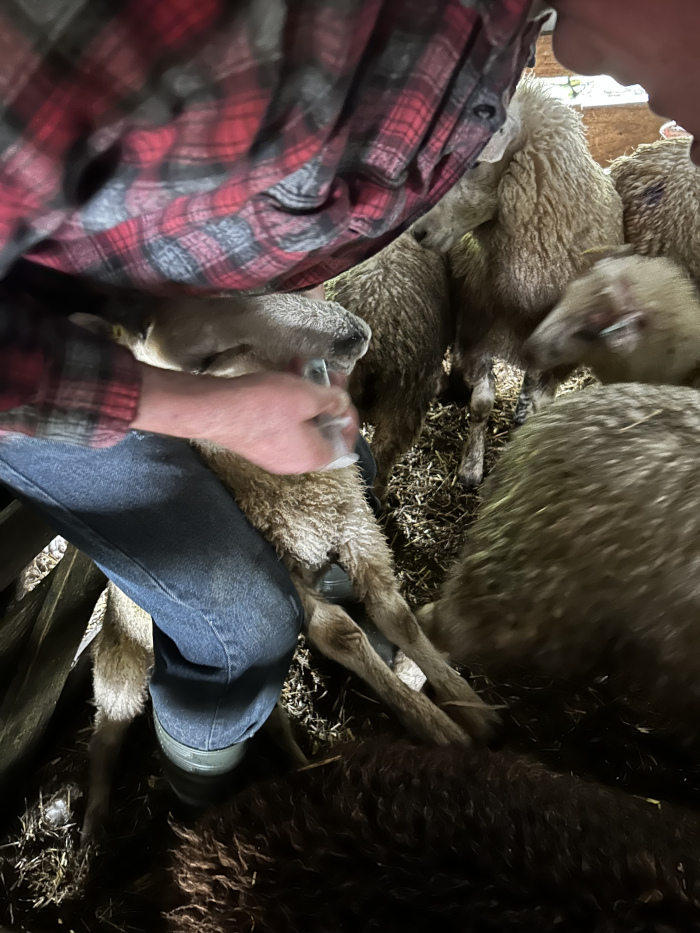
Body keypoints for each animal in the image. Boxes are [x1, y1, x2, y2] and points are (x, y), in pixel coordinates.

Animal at [81, 291, 495, 842]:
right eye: (210, 362)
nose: (355, 334)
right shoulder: (290, 578)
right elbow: (344, 636)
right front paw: (440, 729)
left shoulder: (355, 526)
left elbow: (396, 616)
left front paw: (470, 707)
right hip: (123, 662)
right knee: (106, 733)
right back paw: (93, 827)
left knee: (266, 717)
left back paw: (300, 760)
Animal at [411, 78, 624, 488]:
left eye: (475, 163)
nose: (417, 231)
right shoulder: (476, 327)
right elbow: (481, 403)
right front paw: (471, 468)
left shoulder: (563, 349)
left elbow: (540, 401)